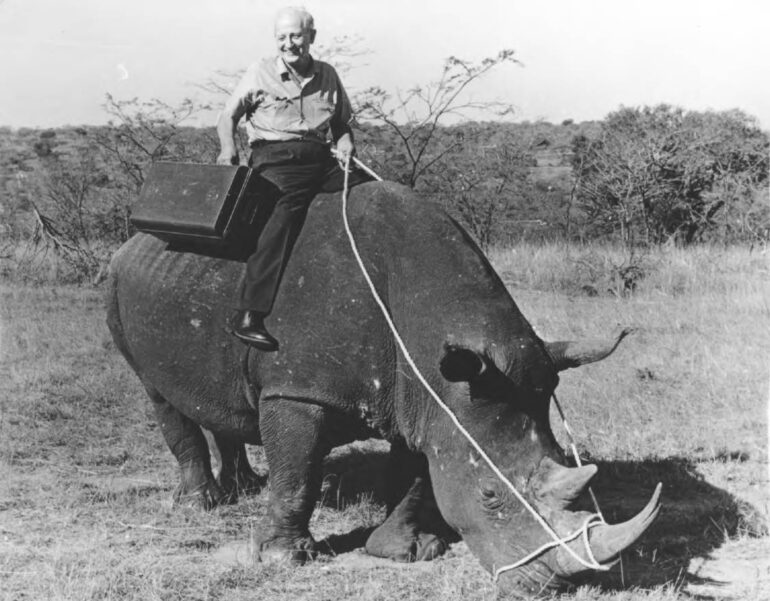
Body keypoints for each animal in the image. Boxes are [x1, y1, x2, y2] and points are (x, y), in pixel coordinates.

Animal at [106, 181, 660, 596]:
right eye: (490, 497)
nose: (552, 585)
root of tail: (133, 241)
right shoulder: (298, 389)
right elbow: (298, 473)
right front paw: (282, 558)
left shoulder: (432, 398)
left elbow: (418, 472)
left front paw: (406, 551)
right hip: (117, 285)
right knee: (157, 392)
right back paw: (201, 505)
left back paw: (243, 487)